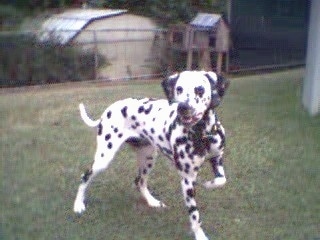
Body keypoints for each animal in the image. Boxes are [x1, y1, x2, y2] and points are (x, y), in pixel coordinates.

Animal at [74, 70, 229, 239]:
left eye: (199, 89)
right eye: (179, 89)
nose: (183, 107)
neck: (201, 134)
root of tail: (108, 110)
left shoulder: (217, 157)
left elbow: (221, 180)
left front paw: (208, 184)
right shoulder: (187, 180)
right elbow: (195, 215)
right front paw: (199, 235)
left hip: (148, 158)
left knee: (139, 181)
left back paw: (152, 202)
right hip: (104, 158)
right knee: (85, 176)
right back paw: (78, 205)